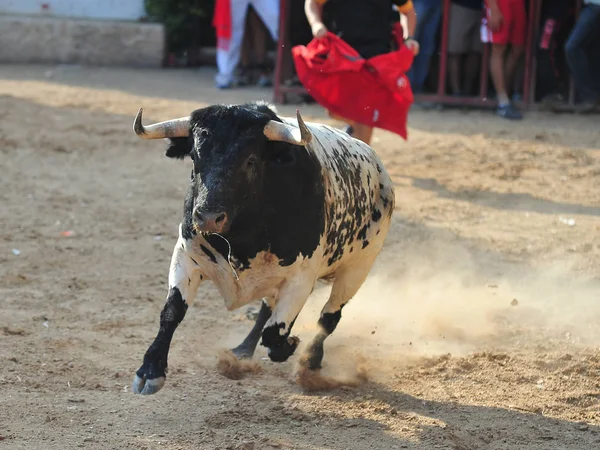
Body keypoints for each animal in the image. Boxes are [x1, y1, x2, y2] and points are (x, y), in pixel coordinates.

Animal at [129, 101, 396, 394]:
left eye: (250, 161)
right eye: (195, 158)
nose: (208, 217)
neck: (242, 236)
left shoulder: (302, 278)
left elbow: (275, 334)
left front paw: (291, 345)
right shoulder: (187, 255)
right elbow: (172, 311)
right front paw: (150, 370)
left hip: (358, 267)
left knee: (329, 317)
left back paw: (311, 362)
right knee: (267, 311)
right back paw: (243, 351)